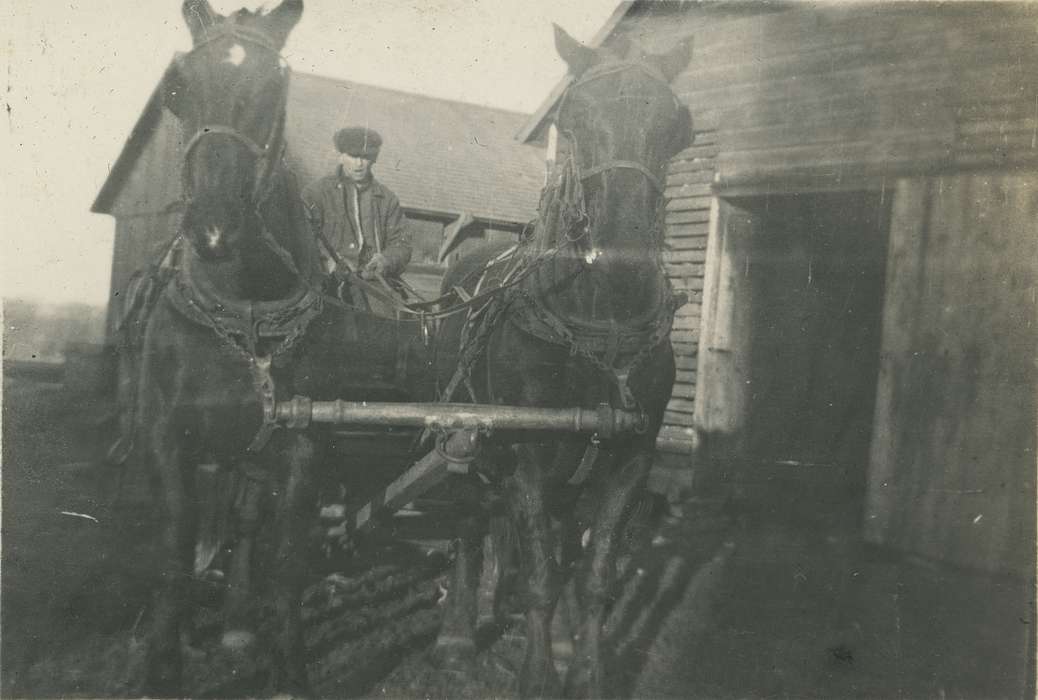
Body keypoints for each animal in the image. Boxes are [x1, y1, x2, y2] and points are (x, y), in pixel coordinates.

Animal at [120, 0, 429, 689]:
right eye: (176, 88)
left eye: (277, 90)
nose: (213, 229)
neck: (246, 312)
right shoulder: (164, 437)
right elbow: (175, 546)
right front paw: (163, 661)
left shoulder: (304, 442)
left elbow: (285, 556)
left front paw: (288, 671)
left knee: (249, 515)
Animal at [427, 24, 689, 693]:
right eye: (574, 118)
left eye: (677, 124)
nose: (624, 249)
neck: (601, 328)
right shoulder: (525, 452)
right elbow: (542, 572)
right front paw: (537, 676)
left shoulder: (632, 456)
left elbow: (593, 573)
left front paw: (587, 670)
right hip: (465, 434)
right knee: (470, 522)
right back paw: (459, 634)